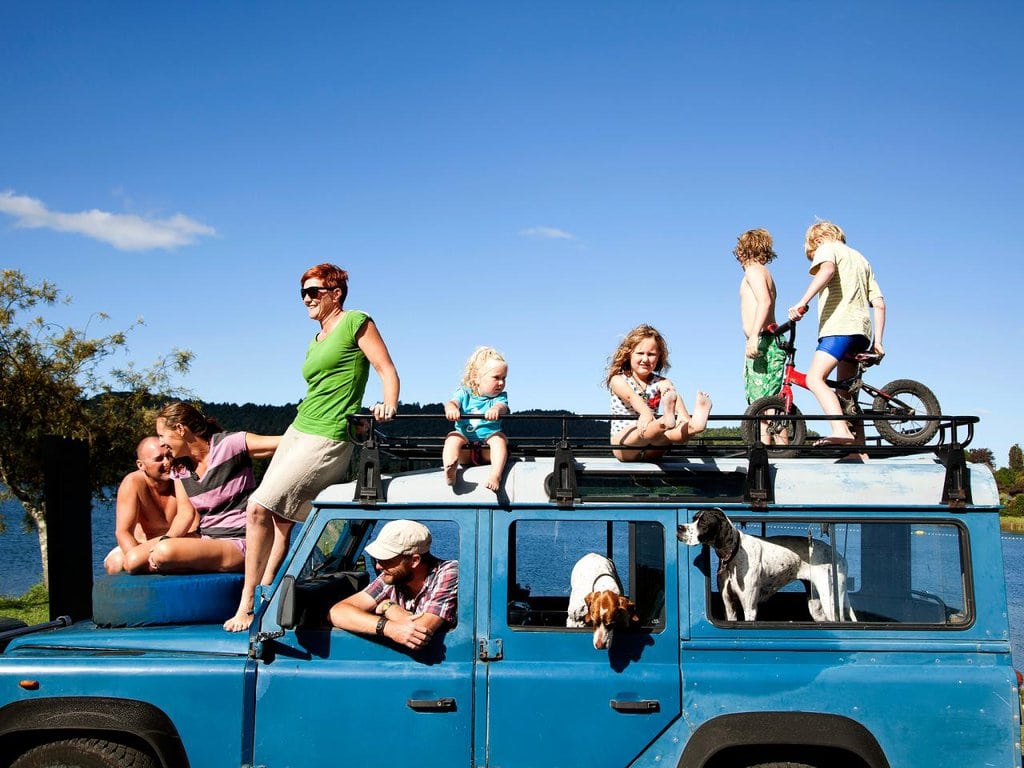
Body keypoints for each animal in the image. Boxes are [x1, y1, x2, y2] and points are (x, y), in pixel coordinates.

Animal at [679, 507, 856, 622]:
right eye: (693, 518)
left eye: (703, 523)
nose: (680, 528)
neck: (735, 553)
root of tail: (839, 556)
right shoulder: (729, 607)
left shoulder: (749, 608)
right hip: (817, 607)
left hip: (831, 601)